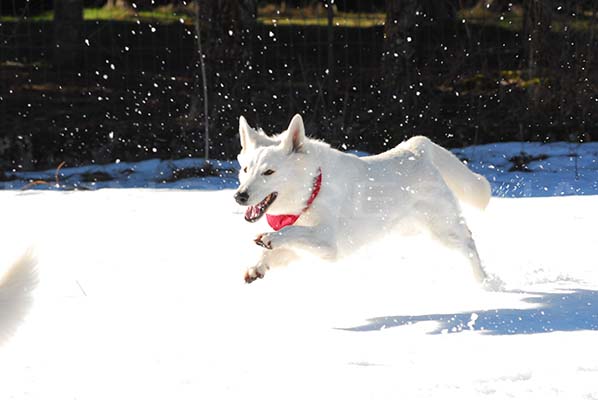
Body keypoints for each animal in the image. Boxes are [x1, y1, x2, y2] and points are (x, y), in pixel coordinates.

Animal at [234, 113, 492, 284]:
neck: (312, 191)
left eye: (269, 172)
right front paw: (257, 267)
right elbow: (277, 249)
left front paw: (270, 238)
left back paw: (484, 283)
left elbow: (290, 232)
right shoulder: (308, 247)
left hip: (441, 229)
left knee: (469, 243)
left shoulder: (329, 244)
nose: (239, 196)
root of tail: (418, 149)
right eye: (246, 170)